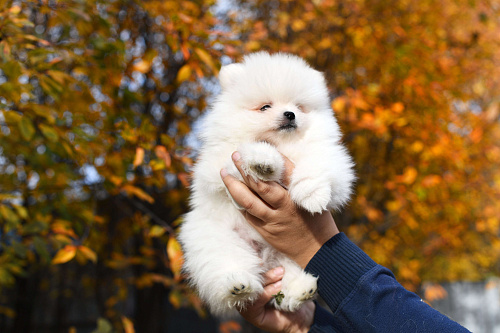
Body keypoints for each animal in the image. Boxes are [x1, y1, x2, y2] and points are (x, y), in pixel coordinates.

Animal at [178, 51, 354, 314]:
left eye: (298, 107)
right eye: (265, 107)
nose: (290, 114)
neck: (283, 145)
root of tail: (264, 257)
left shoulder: (331, 159)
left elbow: (317, 165)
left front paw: (311, 194)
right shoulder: (214, 166)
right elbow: (241, 154)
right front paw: (263, 161)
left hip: (293, 253)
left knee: (288, 277)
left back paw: (301, 289)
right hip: (215, 240)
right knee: (226, 264)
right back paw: (238, 286)